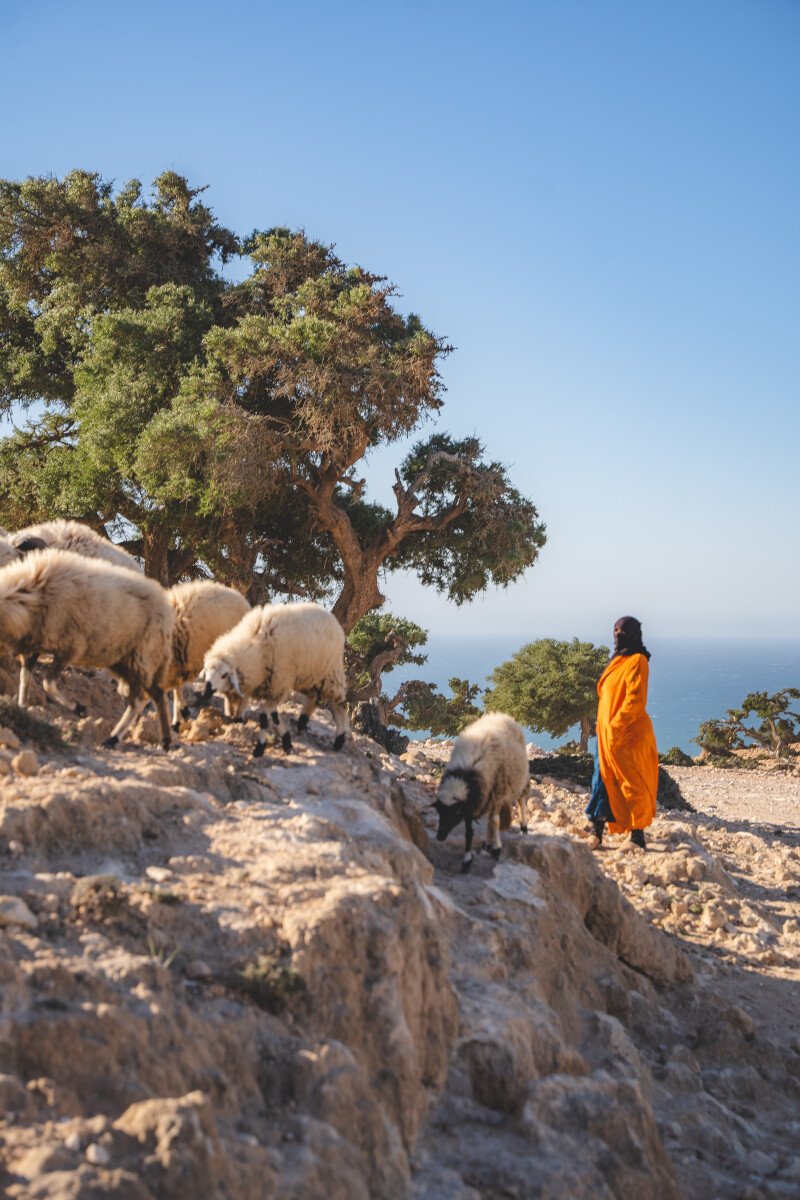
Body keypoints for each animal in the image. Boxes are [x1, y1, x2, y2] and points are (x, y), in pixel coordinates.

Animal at [0, 547, 175, 748]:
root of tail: (165, 607)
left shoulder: (70, 648)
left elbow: (47, 683)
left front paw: (80, 709)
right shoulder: (34, 647)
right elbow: (24, 680)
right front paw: (22, 708)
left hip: (142, 656)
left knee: (145, 697)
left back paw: (148, 739)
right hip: (124, 661)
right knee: (149, 696)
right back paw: (127, 739)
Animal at [199, 604, 347, 753]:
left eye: (224, 674)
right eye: (206, 670)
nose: (206, 692)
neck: (258, 650)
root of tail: (332, 618)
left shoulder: (278, 684)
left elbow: (264, 718)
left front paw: (260, 746)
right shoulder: (270, 686)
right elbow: (274, 716)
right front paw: (286, 740)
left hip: (330, 674)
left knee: (339, 705)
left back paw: (339, 740)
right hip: (311, 676)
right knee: (313, 698)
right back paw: (302, 722)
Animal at [431, 710, 532, 873]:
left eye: (455, 813)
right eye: (439, 812)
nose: (440, 836)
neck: (467, 773)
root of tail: (501, 715)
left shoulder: (495, 794)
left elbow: (495, 821)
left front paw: (497, 849)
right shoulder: (471, 804)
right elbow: (469, 833)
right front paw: (467, 861)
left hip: (518, 778)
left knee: (522, 799)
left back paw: (523, 828)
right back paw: (487, 843)